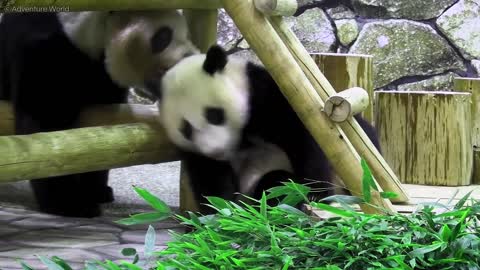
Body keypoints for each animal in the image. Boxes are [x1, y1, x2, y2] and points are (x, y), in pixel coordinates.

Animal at [0, 11, 199, 217]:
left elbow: (102, 135)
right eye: (163, 37)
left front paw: (95, 190)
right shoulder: (44, 51)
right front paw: (71, 204)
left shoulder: (105, 79)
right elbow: (46, 127)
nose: (189, 57)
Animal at [154, 45, 382, 212]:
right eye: (186, 128)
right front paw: (223, 210)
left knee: (278, 183)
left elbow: (304, 137)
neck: (241, 138)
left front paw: (315, 193)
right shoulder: (197, 152)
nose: (216, 151)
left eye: (214, 114)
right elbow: (211, 176)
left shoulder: (265, 97)